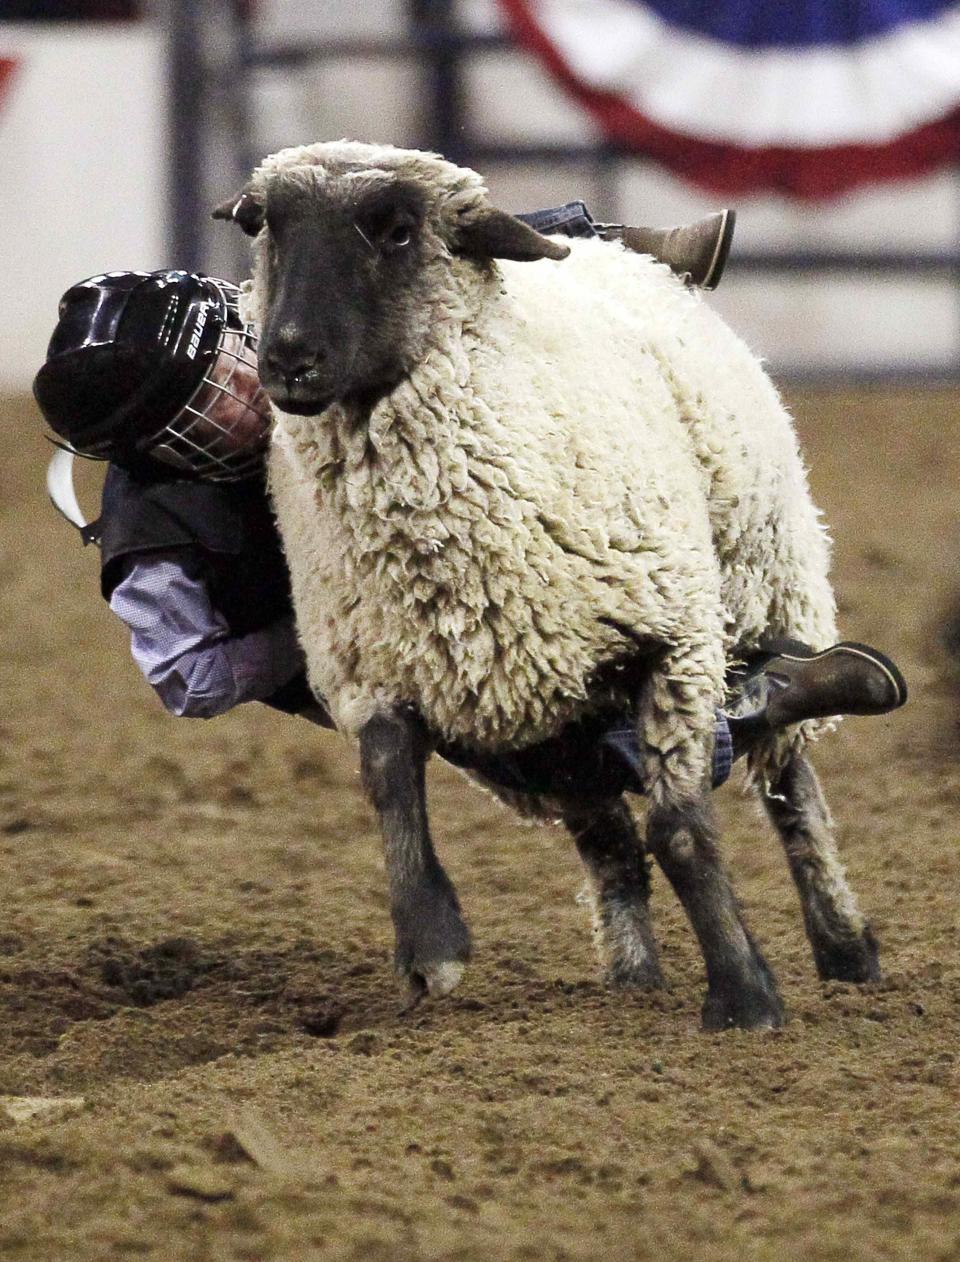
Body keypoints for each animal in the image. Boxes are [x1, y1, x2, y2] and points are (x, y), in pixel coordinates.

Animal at [213, 140, 878, 1024]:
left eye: (397, 230)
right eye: (262, 225)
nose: (288, 360)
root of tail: (629, 258)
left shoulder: (672, 637)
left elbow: (681, 827)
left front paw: (743, 996)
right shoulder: (373, 665)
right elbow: (390, 788)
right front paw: (429, 947)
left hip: (758, 582)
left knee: (787, 779)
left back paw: (844, 941)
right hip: (543, 722)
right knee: (608, 841)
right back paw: (633, 975)